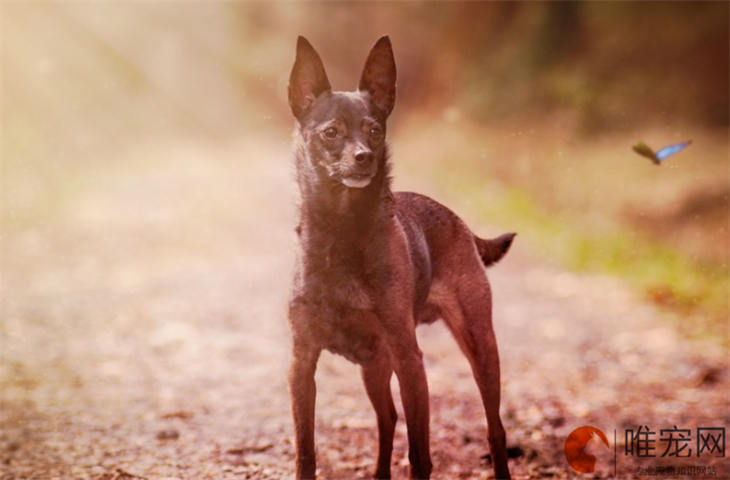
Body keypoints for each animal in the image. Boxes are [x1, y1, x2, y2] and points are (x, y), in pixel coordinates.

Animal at [286, 35, 512, 478]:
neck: (343, 232)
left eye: (374, 130)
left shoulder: (410, 361)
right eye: (331, 132)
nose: (364, 158)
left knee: (495, 429)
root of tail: (459, 221)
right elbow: (306, 450)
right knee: (388, 418)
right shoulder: (302, 362)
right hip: (375, 366)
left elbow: (420, 454)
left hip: (479, 345)